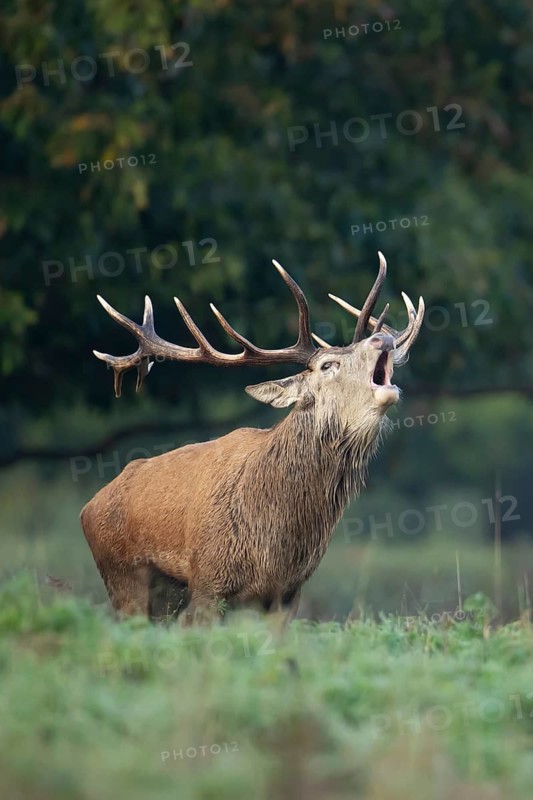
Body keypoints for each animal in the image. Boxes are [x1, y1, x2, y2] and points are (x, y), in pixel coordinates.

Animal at [80, 252, 424, 624]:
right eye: (327, 365)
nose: (382, 340)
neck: (274, 544)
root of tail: (88, 508)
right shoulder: (208, 582)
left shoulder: (288, 593)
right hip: (124, 582)